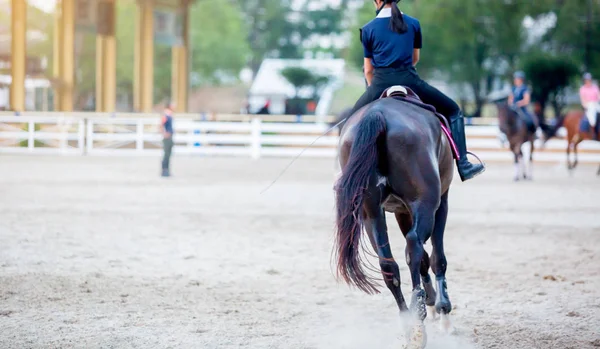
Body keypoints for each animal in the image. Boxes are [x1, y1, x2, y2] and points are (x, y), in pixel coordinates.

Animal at [332, 91, 454, 346]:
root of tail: (377, 114)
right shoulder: (441, 202)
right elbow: (436, 257)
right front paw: (442, 309)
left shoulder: (400, 211)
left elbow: (424, 259)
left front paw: (432, 299)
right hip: (426, 203)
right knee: (415, 246)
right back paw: (419, 317)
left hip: (370, 212)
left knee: (389, 265)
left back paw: (411, 326)